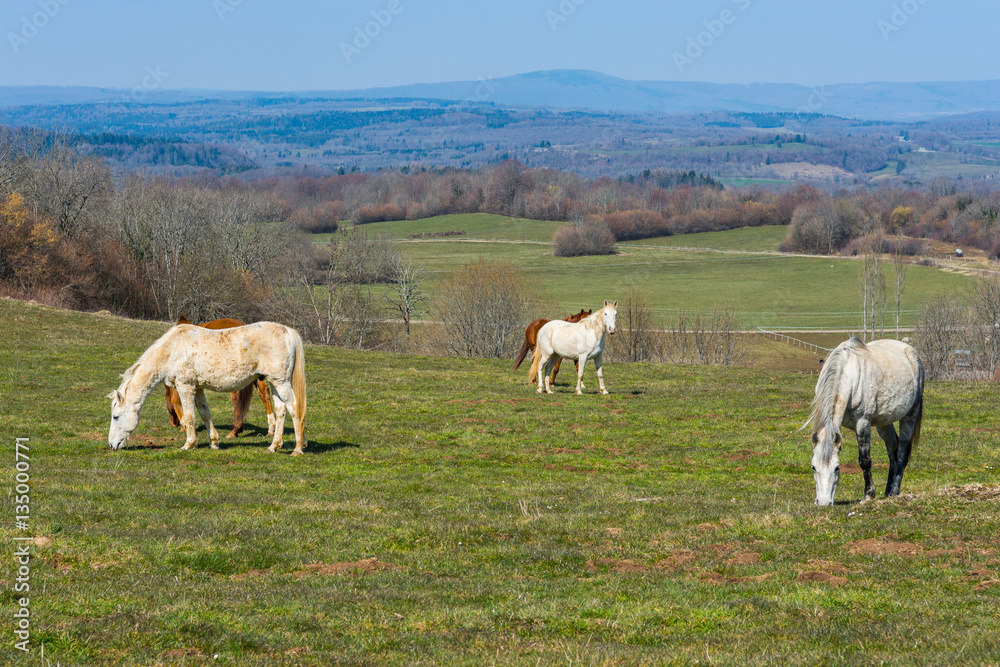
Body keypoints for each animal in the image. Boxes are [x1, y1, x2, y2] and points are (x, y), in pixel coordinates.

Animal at [107, 322, 306, 456]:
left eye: (115, 417)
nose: (111, 445)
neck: (172, 349)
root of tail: (287, 331)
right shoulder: (198, 388)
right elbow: (205, 414)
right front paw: (214, 442)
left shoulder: (185, 387)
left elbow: (189, 416)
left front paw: (189, 444)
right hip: (275, 383)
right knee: (280, 411)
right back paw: (273, 446)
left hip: (281, 383)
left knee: (294, 409)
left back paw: (297, 448)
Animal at [804, 340, 920, 506]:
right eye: (813, 467)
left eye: (837, 468)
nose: (824, 502)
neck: (847, 375)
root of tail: (909, 349)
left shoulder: (863, 424)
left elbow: (865, 460)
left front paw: (868, 495)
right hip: (884, 421)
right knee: (892, 449)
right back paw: (887, 491)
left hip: (910, 414)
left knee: (903, 451)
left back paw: (894, 491)